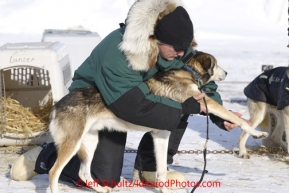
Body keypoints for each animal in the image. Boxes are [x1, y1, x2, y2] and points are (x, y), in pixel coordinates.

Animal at [47, 51, 268, 193]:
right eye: (216, 64)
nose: (227, 73)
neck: (189, 73)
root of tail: (57, 105)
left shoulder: (161, 134)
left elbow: (161, 170)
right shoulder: (204, 102)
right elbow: (235, 118)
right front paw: (257, 132)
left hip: (90, 142)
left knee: (84, 173)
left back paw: (102, 189)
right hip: (72, 144)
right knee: (53, 172)